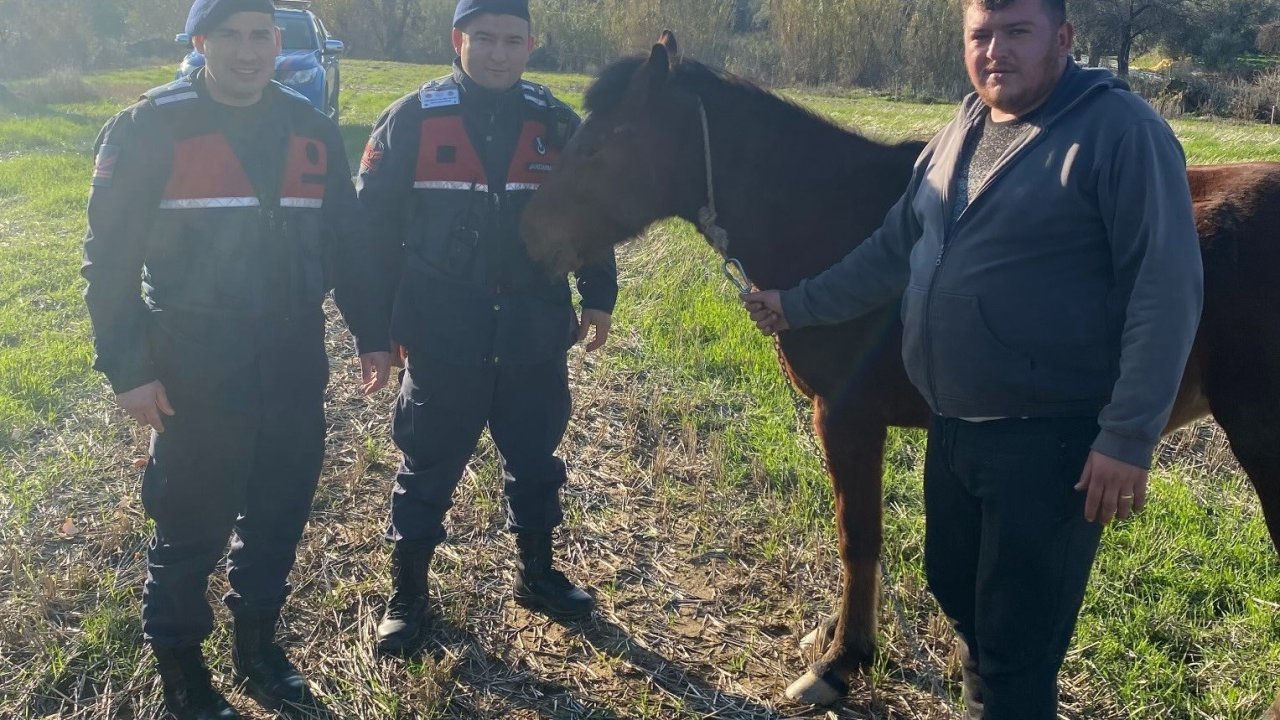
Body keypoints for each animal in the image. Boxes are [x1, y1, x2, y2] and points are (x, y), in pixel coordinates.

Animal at [517, 32, 1280, 702]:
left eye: (599, 145)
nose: (531, 240)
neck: (831, 218)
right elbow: (861, 534)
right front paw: (837, 637)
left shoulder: (848, 417)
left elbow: (858, 535)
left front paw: (842, 662)